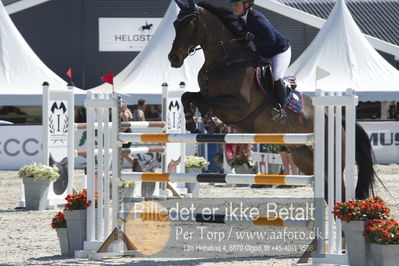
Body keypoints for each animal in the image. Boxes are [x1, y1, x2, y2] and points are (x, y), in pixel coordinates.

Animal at [168, 0, 376, 200]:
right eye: (175, 24)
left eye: (190, 23)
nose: (173, 58)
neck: (225, 61)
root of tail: (336, 120)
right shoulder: (208, 94)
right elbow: (188, 97)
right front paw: (191, 123)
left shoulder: (239, 105)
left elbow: (205, 104)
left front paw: (211, 125)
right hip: (305, 157)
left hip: (329, 160)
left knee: (340, 190)